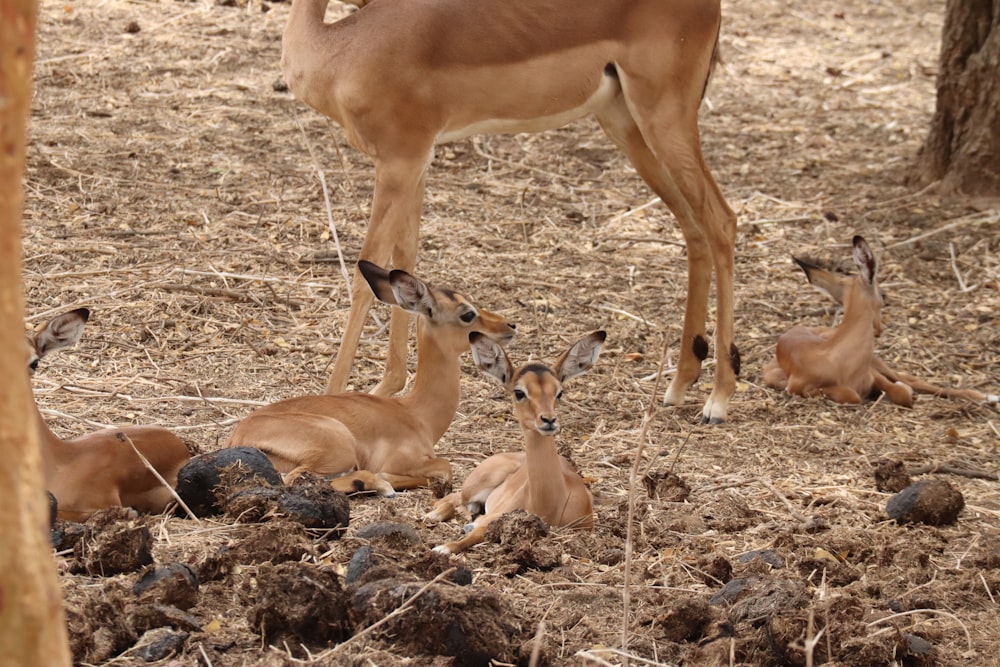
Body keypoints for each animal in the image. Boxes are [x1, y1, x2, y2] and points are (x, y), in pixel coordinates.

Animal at [226, 260, 516, 496]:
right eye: (467, 313)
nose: (510, 325)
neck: (417, 414)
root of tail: (239, 437)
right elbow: (445, 467)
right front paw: (388, 479)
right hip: (338, 448)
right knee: (296, 479)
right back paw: (377, 484)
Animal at [286, 0, 740, 422]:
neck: (341, 46)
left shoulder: (400, 162)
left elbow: (365, 276)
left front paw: (329, 400)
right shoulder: (416, 162)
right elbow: (405, 264)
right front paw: (387, 388)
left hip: (664, 119)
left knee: (722, 221)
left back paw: (718, 399)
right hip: (626, 123)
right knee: (693, 227)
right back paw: (680, 383)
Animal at [422, 332, 600, 556]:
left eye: (559, 392)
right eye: (519, 392)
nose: (548, 420)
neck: (549, 504)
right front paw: (443, 547)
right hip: (477, 484)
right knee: (452, 497)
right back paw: (432, 516)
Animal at [760, 237, 996, 410]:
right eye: (882, 296)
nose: (879, 329)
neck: (836, 361)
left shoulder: (872, 374)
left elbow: (901, 391)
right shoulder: (798, 387)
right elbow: (852, 394)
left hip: (878, 362)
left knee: (912, 379)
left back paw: (984, 396)